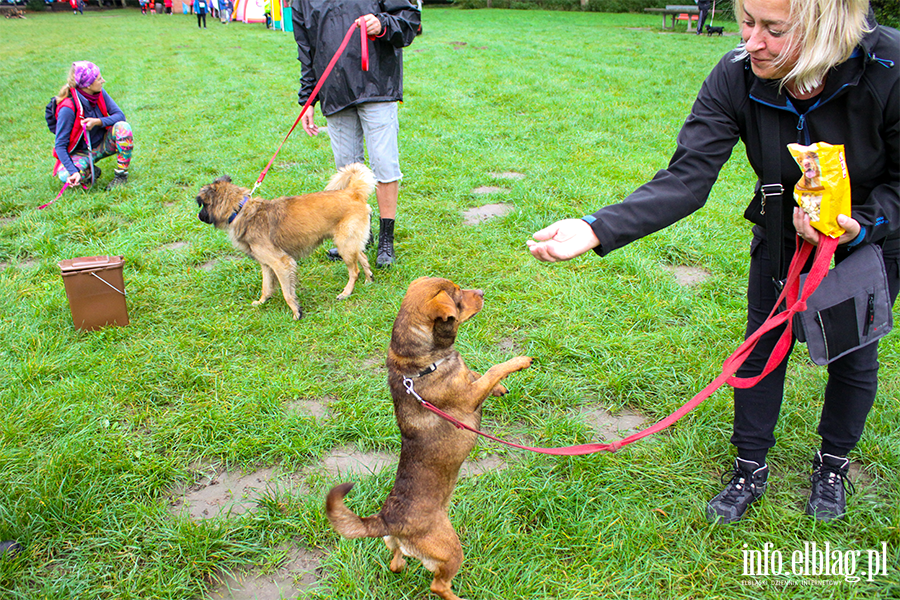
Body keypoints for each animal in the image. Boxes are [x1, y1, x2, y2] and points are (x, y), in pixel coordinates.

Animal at [197, 159, 376, 318]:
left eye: (203, 205)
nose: (198, 216)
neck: (240, 209)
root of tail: (352, 192)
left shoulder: (281, 263)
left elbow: (286, 292)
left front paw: (297, 311)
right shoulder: (266, 264)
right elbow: (266, 286)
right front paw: (262, 302)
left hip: (344, 244)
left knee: (354, 271)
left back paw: (346, 292)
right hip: (348, 243)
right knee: (363, 257)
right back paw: (369, 280)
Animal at [326, 276, 532, 600]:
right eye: (458, 297)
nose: (483, 292)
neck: (419, 363)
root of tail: (388, 519)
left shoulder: (466, 379)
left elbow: (478, 373)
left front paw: (499, 388)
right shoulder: (468, 398)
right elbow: (492, 370)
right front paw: (519, 362)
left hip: (396, 545)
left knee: (396, 562)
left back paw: (399, 564)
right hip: (450, 549)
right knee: (438, 585)